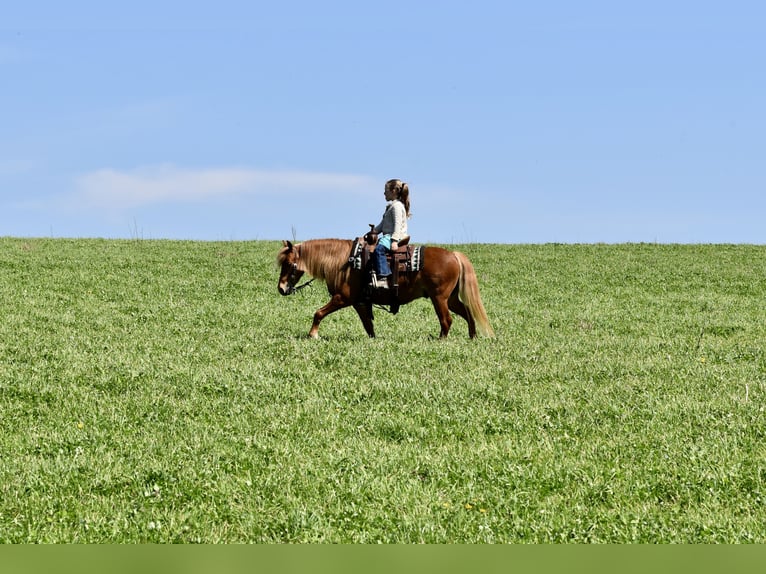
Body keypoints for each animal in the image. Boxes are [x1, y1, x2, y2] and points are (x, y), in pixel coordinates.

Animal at [277, 238, 494, 339]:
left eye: (288, 263)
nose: (281, 288)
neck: (344, 262)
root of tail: (454, 255)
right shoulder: (359, 302)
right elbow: (368, 325)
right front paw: (373, 339)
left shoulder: (343, 298)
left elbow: (319, 313)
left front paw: (313, 334)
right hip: (451, 298)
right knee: (468, 313)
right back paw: (472, 336)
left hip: (439, 298)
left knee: (446, 320)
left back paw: (441, 340)